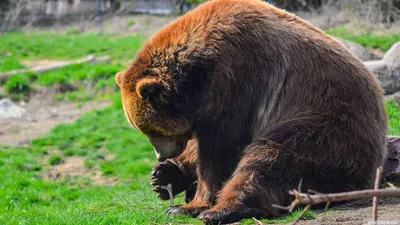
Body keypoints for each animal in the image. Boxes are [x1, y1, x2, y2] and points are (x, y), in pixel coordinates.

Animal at [115, 0, 388, 222]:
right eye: (143, 130)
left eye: (152, 130)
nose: (162, 156)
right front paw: (163, 176)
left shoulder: (238, 78)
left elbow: (219, 150)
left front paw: (189, 205)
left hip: (326, 127)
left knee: (270, 158)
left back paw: (222, 211)